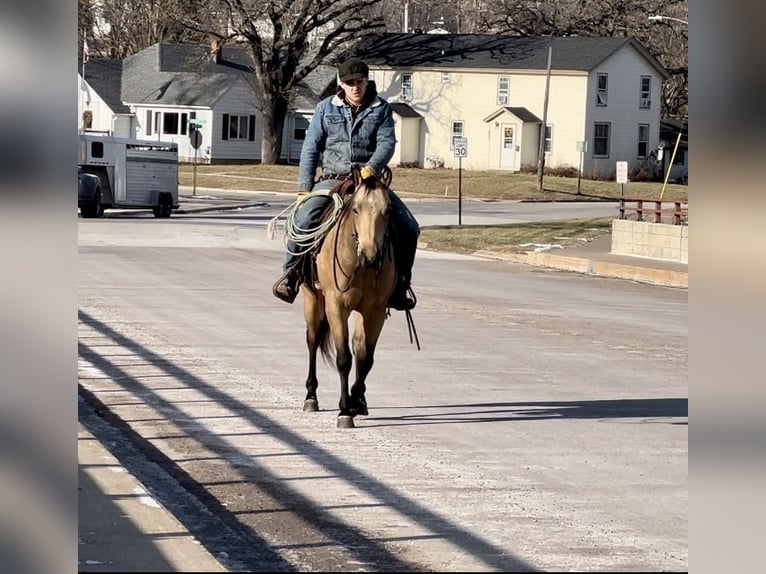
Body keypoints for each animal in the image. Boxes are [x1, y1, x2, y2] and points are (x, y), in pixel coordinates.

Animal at [300, 165, 396, 428]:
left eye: (387, 210)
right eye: (356, 209)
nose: (370, 256)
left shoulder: (375, 311)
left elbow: (365, 358)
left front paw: (357, 401)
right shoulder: (336, 305)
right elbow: (344, 358)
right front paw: (344, 411)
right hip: (311, 298)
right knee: (312, 340)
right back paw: (310, 396)